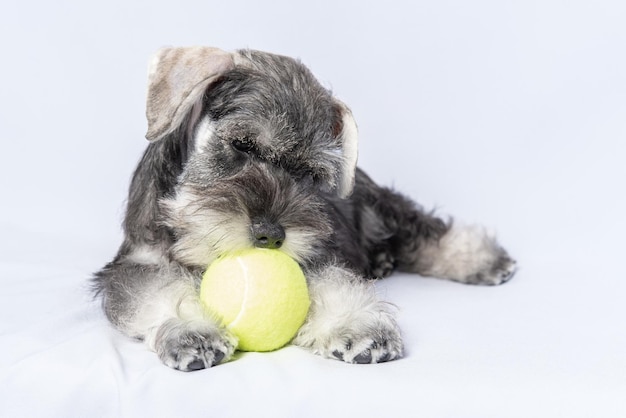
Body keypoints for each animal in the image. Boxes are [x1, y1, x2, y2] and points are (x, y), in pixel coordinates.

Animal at [91, 47, 512, 370]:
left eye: (310, 173)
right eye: (241, 144)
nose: (272, 235)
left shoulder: (320, 252)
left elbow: (332, 283)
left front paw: (355, 325)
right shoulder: (135, 264)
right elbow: (158, 290)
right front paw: (192, 330)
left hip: (382, 208)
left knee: (423, 231)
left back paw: (481, 259)